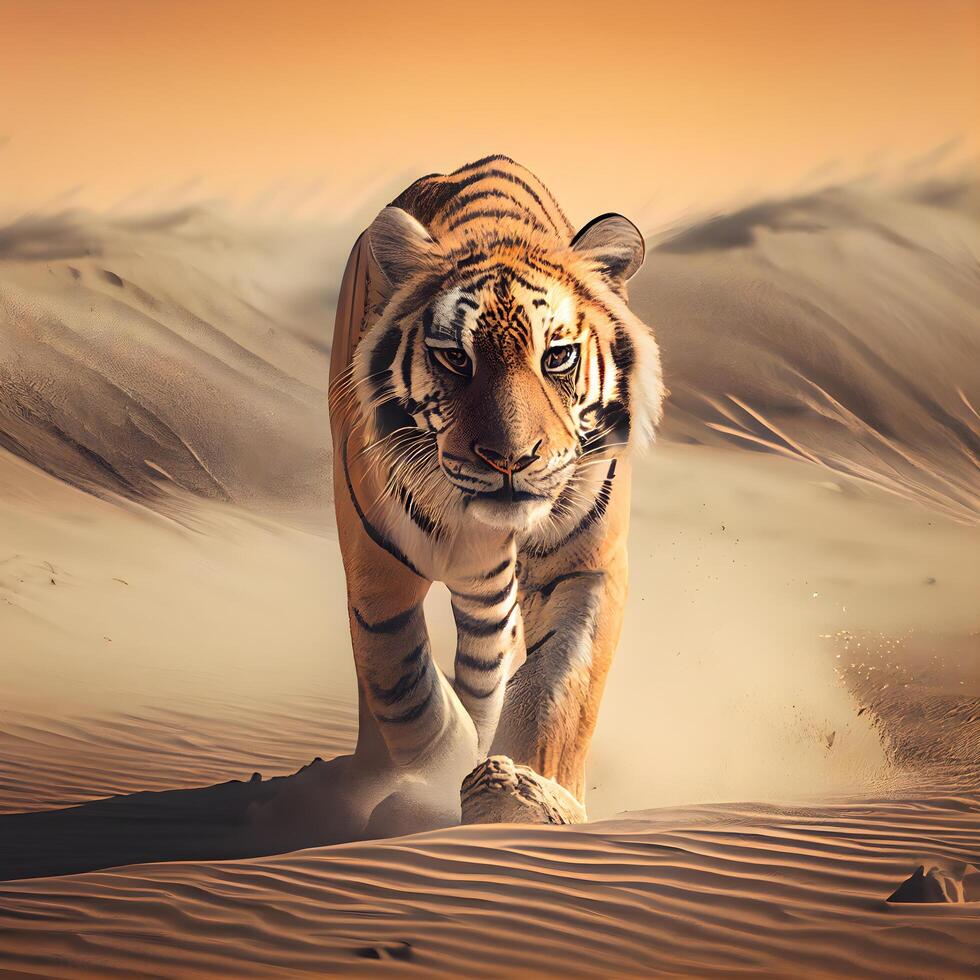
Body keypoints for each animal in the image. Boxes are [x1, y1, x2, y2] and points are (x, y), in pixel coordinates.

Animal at [332, 155, 668, 836]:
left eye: (557, 356)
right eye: (455, 359)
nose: (510, 459)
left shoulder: (586, 563)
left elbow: (557, 686)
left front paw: (522, 798)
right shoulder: (375, 565)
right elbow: (402, 684)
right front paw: (437, 775)